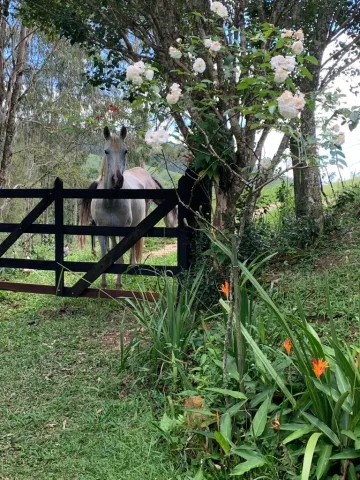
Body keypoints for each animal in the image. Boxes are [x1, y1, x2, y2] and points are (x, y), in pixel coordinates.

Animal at [80, 124, 179, 288]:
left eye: (125, 151)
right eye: (106, 151)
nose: (117, 180)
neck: (110, 202)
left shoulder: (124, 230)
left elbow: (120, 257)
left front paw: (119, 285)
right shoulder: (102, 230)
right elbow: (104, 255)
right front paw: (104, 284)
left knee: (132, 247)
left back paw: (132, 268)